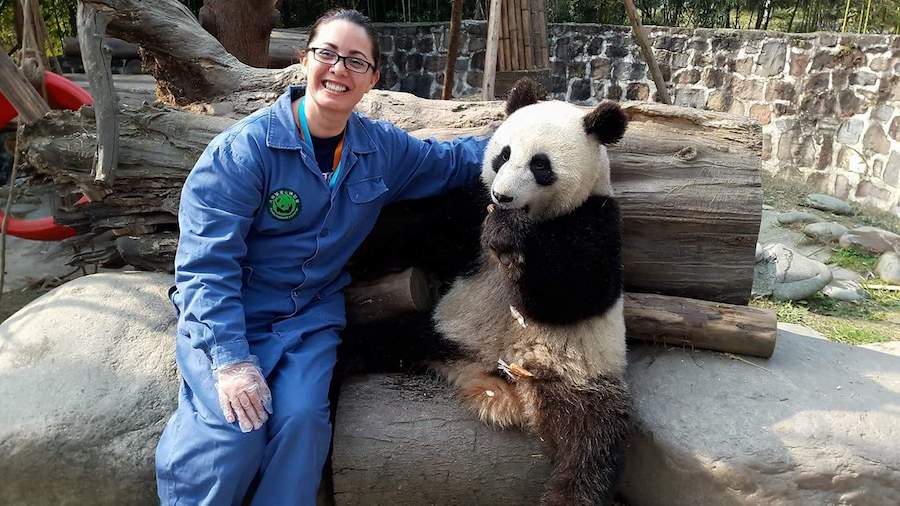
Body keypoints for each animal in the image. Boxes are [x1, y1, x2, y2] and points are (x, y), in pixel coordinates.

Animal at [432, 79, 628, 506]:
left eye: (541, 165)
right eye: (503, 155)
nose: (503, 196)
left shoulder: (599, 218)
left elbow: (574, 293)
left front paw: (509, 237)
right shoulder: (472, 206)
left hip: (580, 379)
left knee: (590, 450)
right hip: (442, 331)